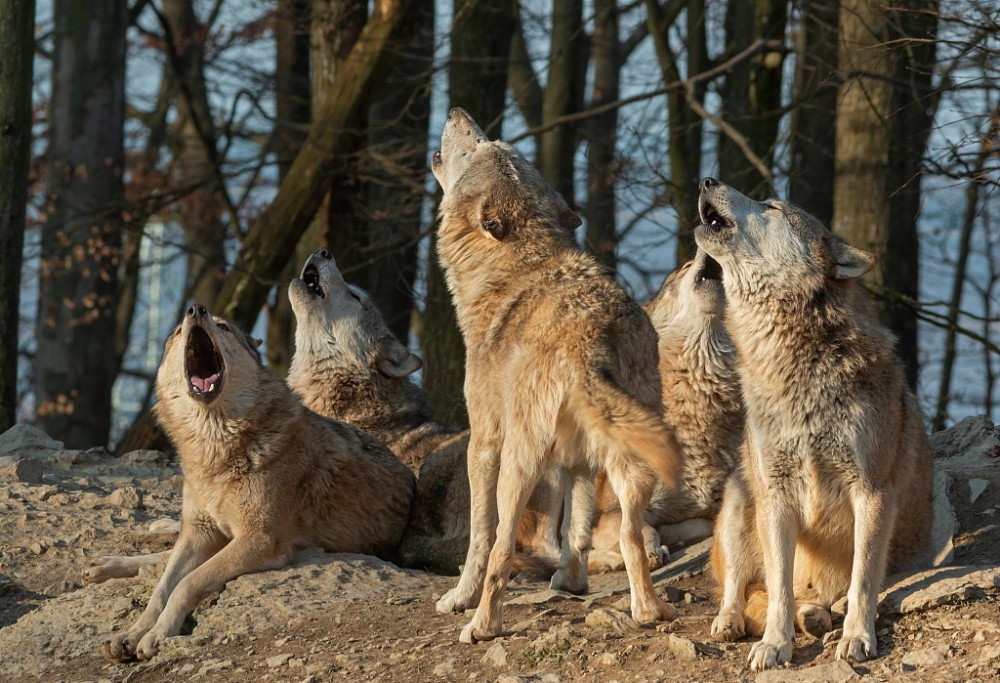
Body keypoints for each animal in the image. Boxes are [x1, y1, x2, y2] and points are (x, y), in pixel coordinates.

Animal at [102, 304, 414, 664]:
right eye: (179, 330)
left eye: (223, 326)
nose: (196, 308)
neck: (215, 448)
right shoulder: (199, 531)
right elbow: (161, 588)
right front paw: (132, 633)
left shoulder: (259, 539)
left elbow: (187, 583)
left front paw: (156, 635)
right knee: (163, 556)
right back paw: (102, 565)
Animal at [430, 108, 680, 648]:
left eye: (481, 146)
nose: (458, 112)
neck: (509, 266)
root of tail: (593, 337)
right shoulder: (578, 459)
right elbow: (578, 529)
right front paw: (571, 582)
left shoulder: (484, 439)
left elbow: (480, 538)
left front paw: (458, 599)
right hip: (634, 460)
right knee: (631, 535)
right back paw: (648, 612)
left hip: (519, 464)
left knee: (502, 548)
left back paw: (481, 626)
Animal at [696, 178, 936, 672]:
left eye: (771, 206)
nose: (708, 180)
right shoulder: (776, 494)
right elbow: (779, 591)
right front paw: (775, 644)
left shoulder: (872, 492)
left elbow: (863, 580)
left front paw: (858, 637)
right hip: (740, 497)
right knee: (741, 586)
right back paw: (735, 621)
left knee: (831, 595)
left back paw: (824, 614)